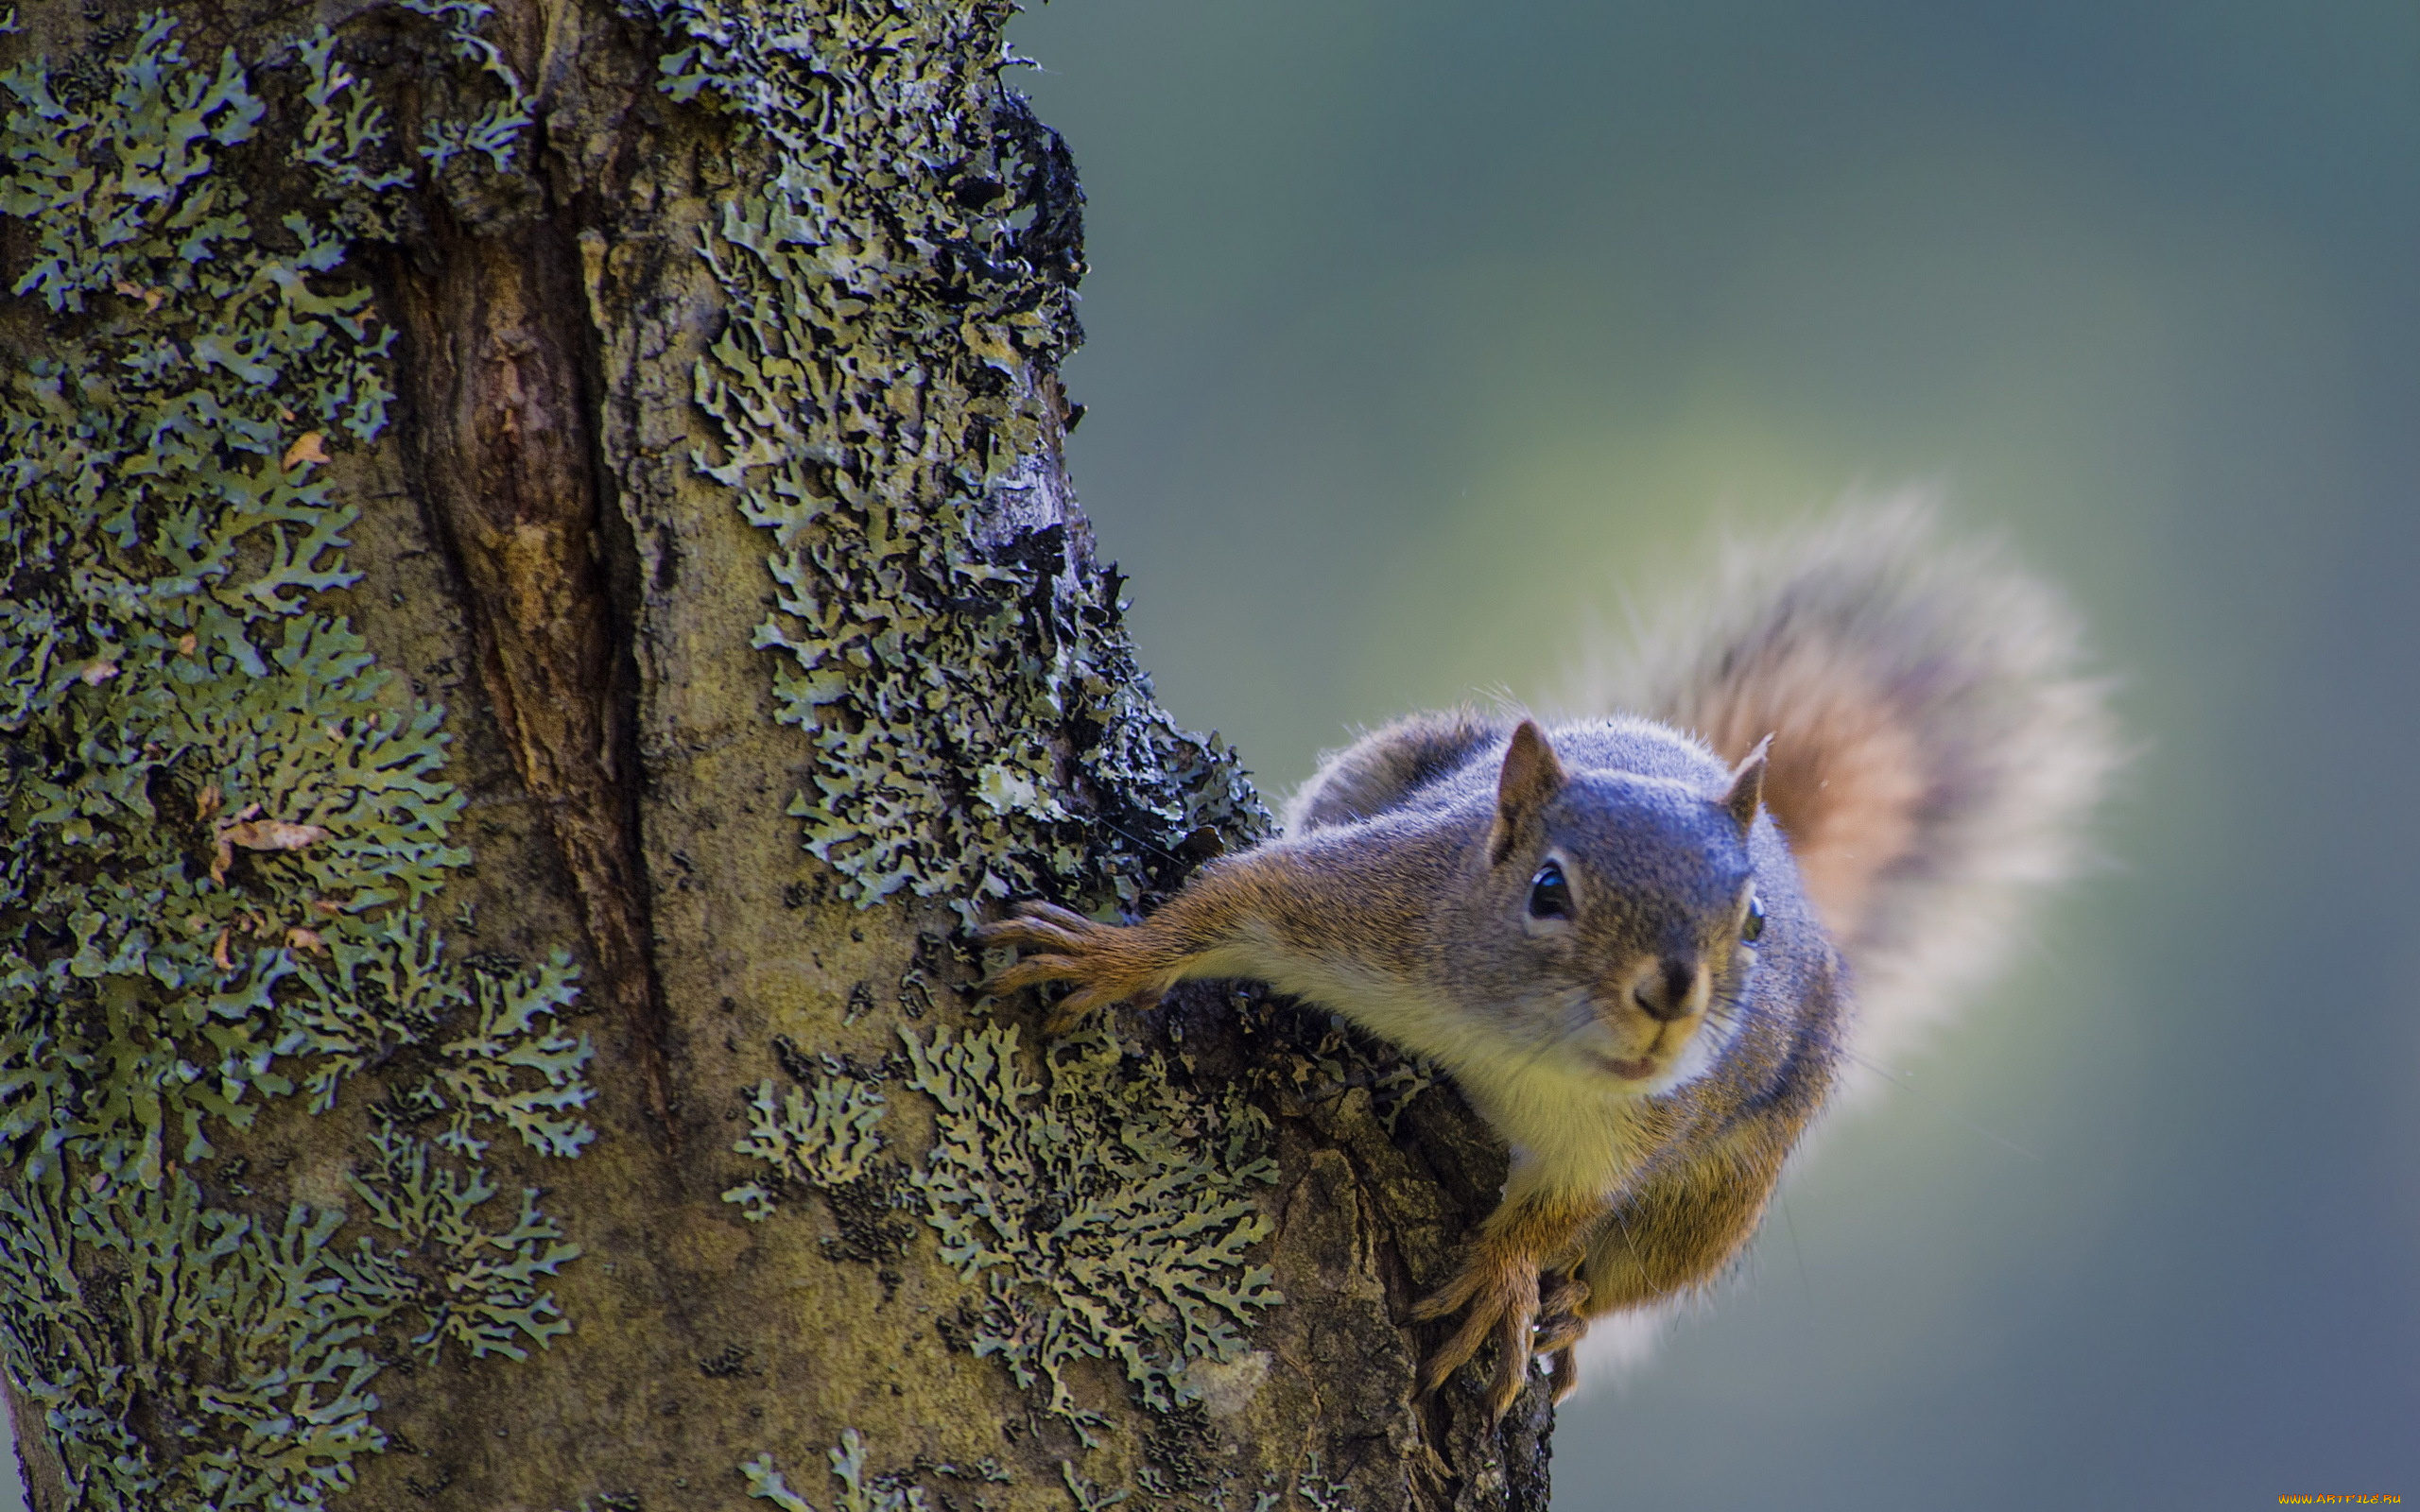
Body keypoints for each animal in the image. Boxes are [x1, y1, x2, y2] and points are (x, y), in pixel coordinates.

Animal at [973, 500, 2110, 1422]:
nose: (1670, 994)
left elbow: (1563, 1208)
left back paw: (1569, 1313)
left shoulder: (1628, 1135)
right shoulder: (1373, 905)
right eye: (1548, 891)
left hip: (1725, 1188)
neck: (1515, 1045)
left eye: (1751, 923)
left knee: (1636, 1269)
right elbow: (1237, 898)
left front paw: (1507, 1281)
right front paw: (1112, 954)